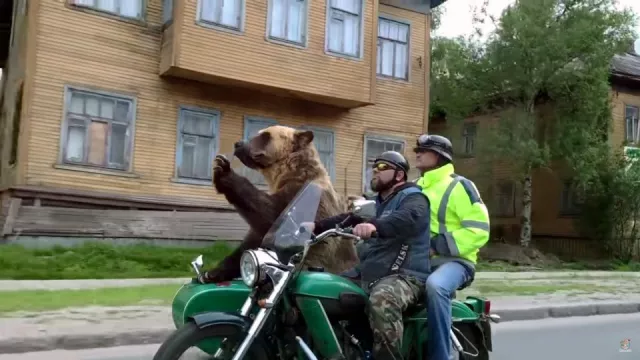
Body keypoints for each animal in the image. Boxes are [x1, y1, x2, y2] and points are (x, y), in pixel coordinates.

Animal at [201, 125, 360, 282]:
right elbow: (252, 242)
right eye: (258, 133)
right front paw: (210, 273)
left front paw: (223, 170)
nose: (238, 144)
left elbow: (274, 216)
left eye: (265, 135)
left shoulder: (306, 197)